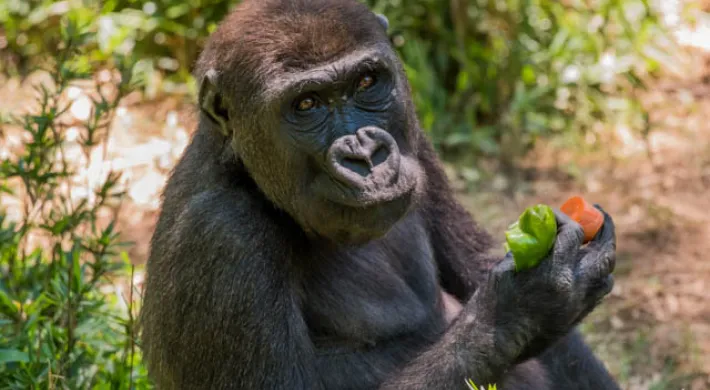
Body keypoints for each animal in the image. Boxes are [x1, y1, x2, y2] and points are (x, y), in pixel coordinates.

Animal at [142, 1, 620, 388]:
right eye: (306, 104)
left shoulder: (417, 140)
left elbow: (475, 264)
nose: (366, 156)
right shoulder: (221, 234)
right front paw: (525, 306)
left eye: (367, 81)